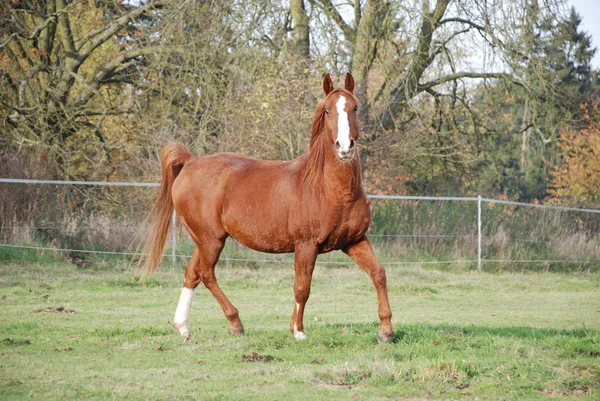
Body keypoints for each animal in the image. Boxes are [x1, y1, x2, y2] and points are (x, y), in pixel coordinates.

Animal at [141, 73, 394, 342]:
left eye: (354, 108)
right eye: (327, 110)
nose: (345, 147)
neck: (329, 189)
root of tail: (189, 163)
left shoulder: (354, 241)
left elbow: (379, 274)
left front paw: (386, 330)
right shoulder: (306, 245)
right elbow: (302, 287)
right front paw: (298, 331)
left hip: (207, 239)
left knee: (192, 273)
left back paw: (183, 327)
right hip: (210, 240)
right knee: (206, 273)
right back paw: (235, 323)